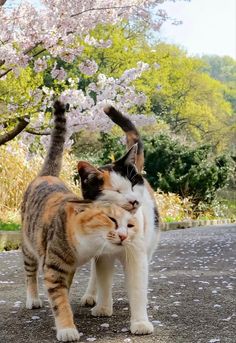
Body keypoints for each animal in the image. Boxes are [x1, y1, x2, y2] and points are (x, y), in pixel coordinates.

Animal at [76, 107, 159, 336]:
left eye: (132, 186)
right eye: (117, 191)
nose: (135, 200)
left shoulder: (137, 255)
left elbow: (137, 286)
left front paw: (140, 322)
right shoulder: (103, 256)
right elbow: (104, 280)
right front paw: (104, 307)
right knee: (95, 275)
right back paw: (91, 296)